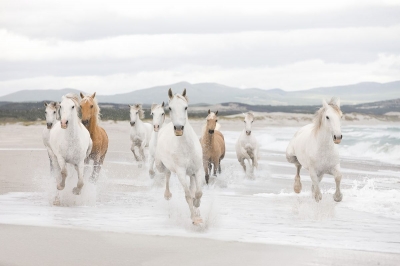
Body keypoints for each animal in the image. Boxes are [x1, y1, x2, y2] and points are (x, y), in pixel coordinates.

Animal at [155, 88, 205, 224]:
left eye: (186, 107)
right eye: (170, 108)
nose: (178, 128)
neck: (187, 147)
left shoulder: (198, 170)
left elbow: (198, 193)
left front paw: (197, 207)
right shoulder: (181, 172)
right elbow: (188, 195)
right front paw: (194, 219)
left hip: (191, 173)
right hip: (161, 165)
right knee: (167, 174)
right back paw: (167, 195)